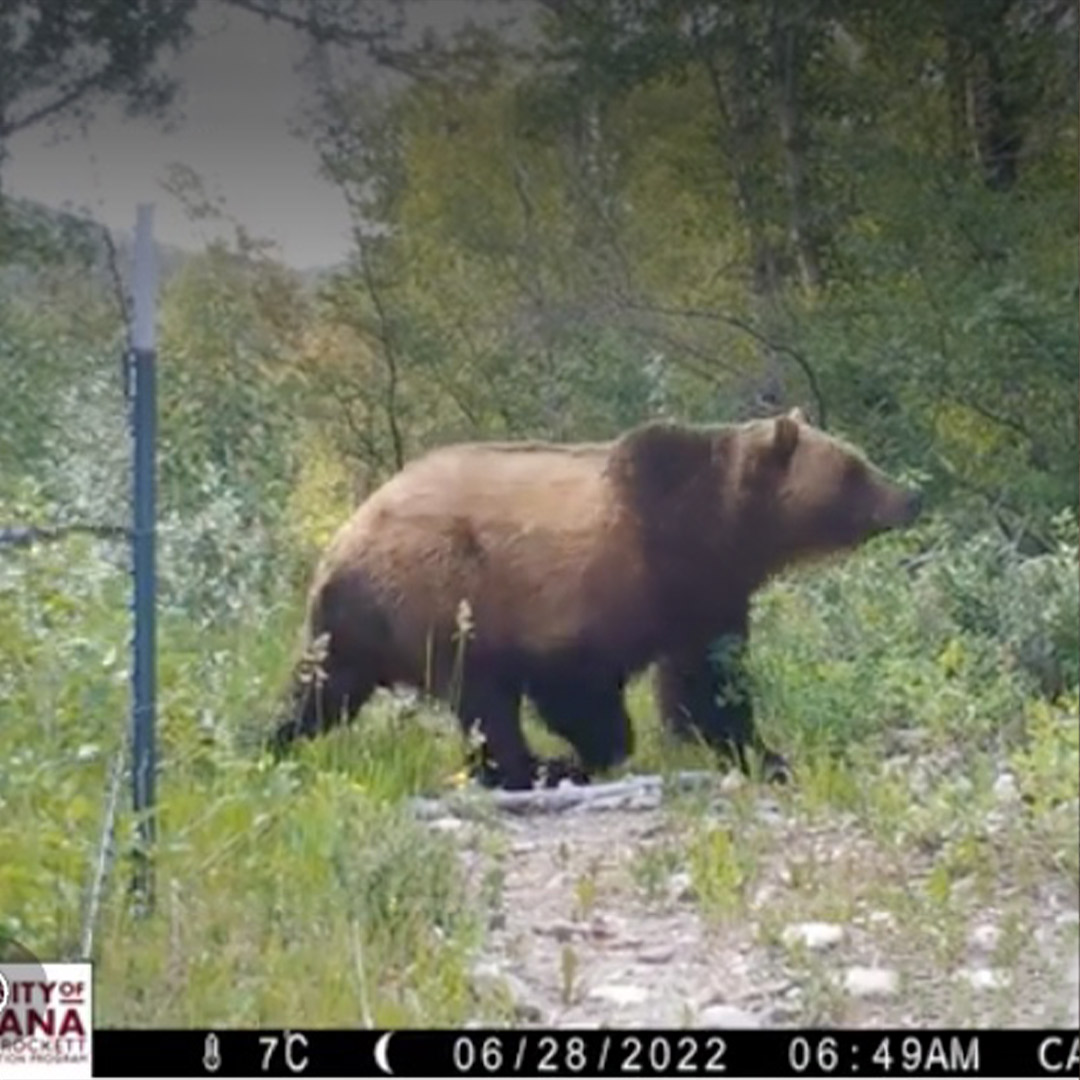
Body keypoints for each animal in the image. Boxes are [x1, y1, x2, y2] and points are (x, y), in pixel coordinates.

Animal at [272, 408, 922, 789]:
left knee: (323, 690)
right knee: (480, 695)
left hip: (354, 624)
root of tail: (343, 540)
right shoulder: (624, 581)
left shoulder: (708, 590)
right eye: (855, 467)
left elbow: (692, 678)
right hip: (435, 592)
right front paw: (761, 753)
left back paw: (273, 738)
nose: (909, 496)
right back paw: (528, 768)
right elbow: (652, 685)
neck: (725, 525)